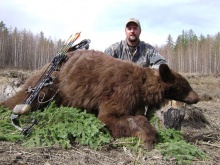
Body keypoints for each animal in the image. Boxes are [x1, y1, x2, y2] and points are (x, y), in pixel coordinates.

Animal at [0, 49, 199, 150]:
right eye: (186, 86)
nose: (197, 98)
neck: (142, 84)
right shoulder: (122, 90)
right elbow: (110, 116)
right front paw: (149, 138)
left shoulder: (135, 99)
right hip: (49, 86)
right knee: (24, 98)